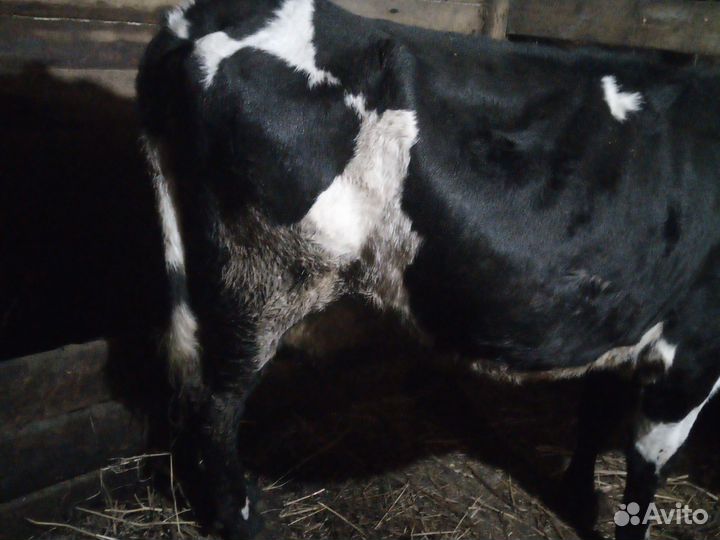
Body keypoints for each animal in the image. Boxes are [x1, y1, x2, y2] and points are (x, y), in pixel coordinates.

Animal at [136, 0, 720, 538]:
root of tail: (198, 18)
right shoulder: (692, 353)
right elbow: (645, 468)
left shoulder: (621, 318)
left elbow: (594, 410)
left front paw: (577, 496)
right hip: (261, 278)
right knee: (214, 407)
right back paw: (245, 521)